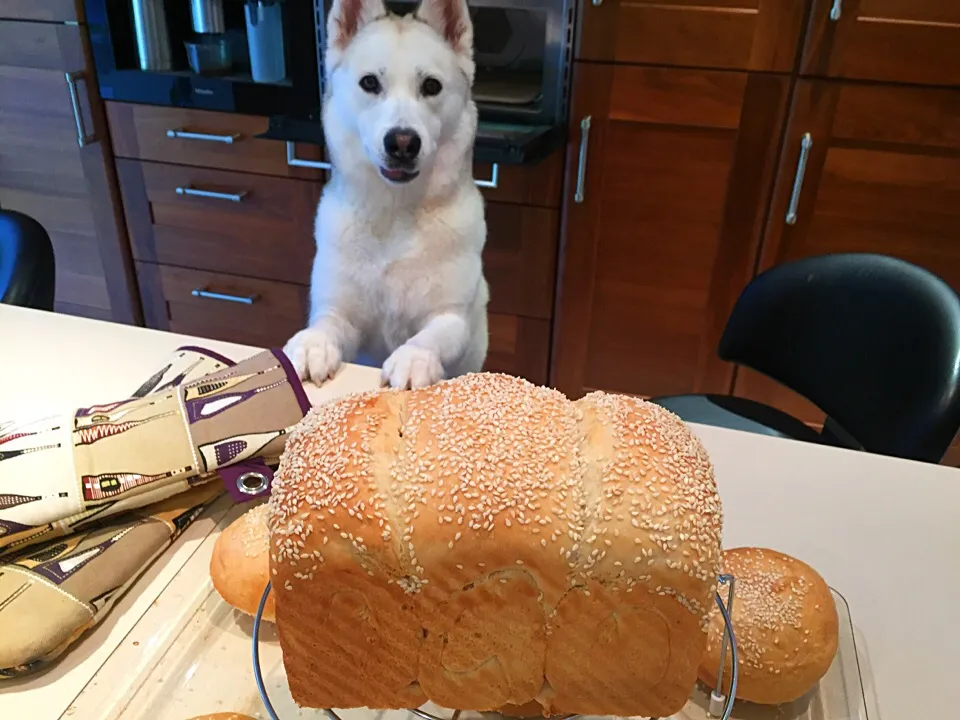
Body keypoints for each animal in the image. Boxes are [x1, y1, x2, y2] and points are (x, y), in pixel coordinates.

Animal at [280, 0, 488, 390]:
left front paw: (414, 357)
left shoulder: (453, 318)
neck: (395, 216)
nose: (402, 142)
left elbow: (431, 336)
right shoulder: (340, 312)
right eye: (370, 83)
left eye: (431, 86)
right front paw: (312, 346)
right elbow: (326, 325)